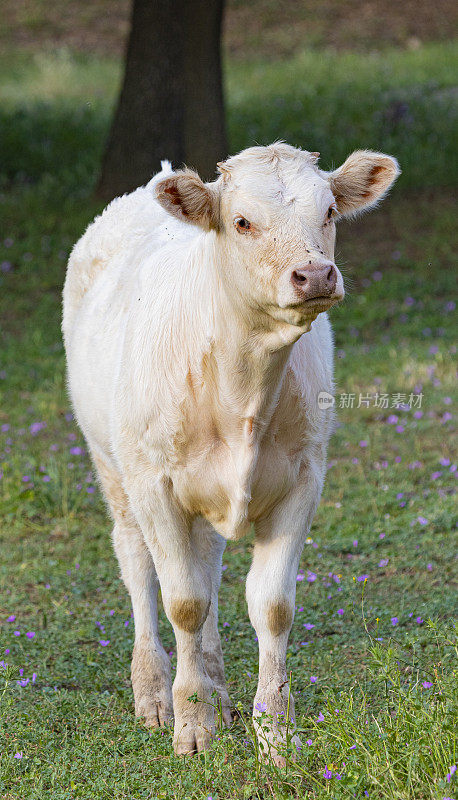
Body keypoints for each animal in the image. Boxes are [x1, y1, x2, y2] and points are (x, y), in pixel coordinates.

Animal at [62, 144, 398, 764]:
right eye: (242, 221)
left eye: (330, 211)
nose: (316, 274)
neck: (242, 386)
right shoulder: (155, 485)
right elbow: (183, 602)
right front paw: (192, 724)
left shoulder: (303, 480)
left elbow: (270, 605)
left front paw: (275, 731)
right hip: (112, 465)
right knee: (139, 565)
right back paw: (154, 690)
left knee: (208, 564)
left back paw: (216, 685)